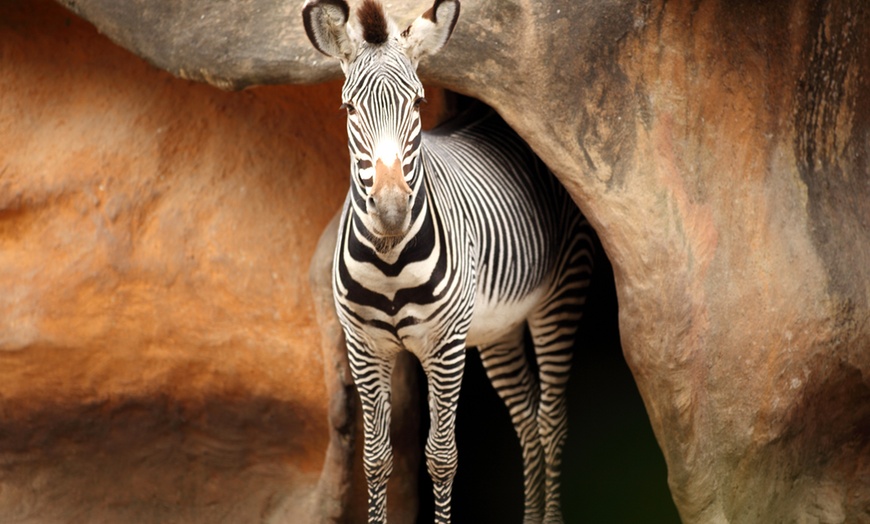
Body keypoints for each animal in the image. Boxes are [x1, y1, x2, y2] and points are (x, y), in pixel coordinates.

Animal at [304, 2, 596, 520]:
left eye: (419, 104)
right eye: (348, 109)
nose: (392, 211)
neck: (390, 264)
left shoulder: (444, 346)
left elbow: (441, 457)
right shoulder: (364, 346)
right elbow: (376, 458)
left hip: (561, 295)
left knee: (551, 419)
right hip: (496, 328)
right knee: (525, 416)